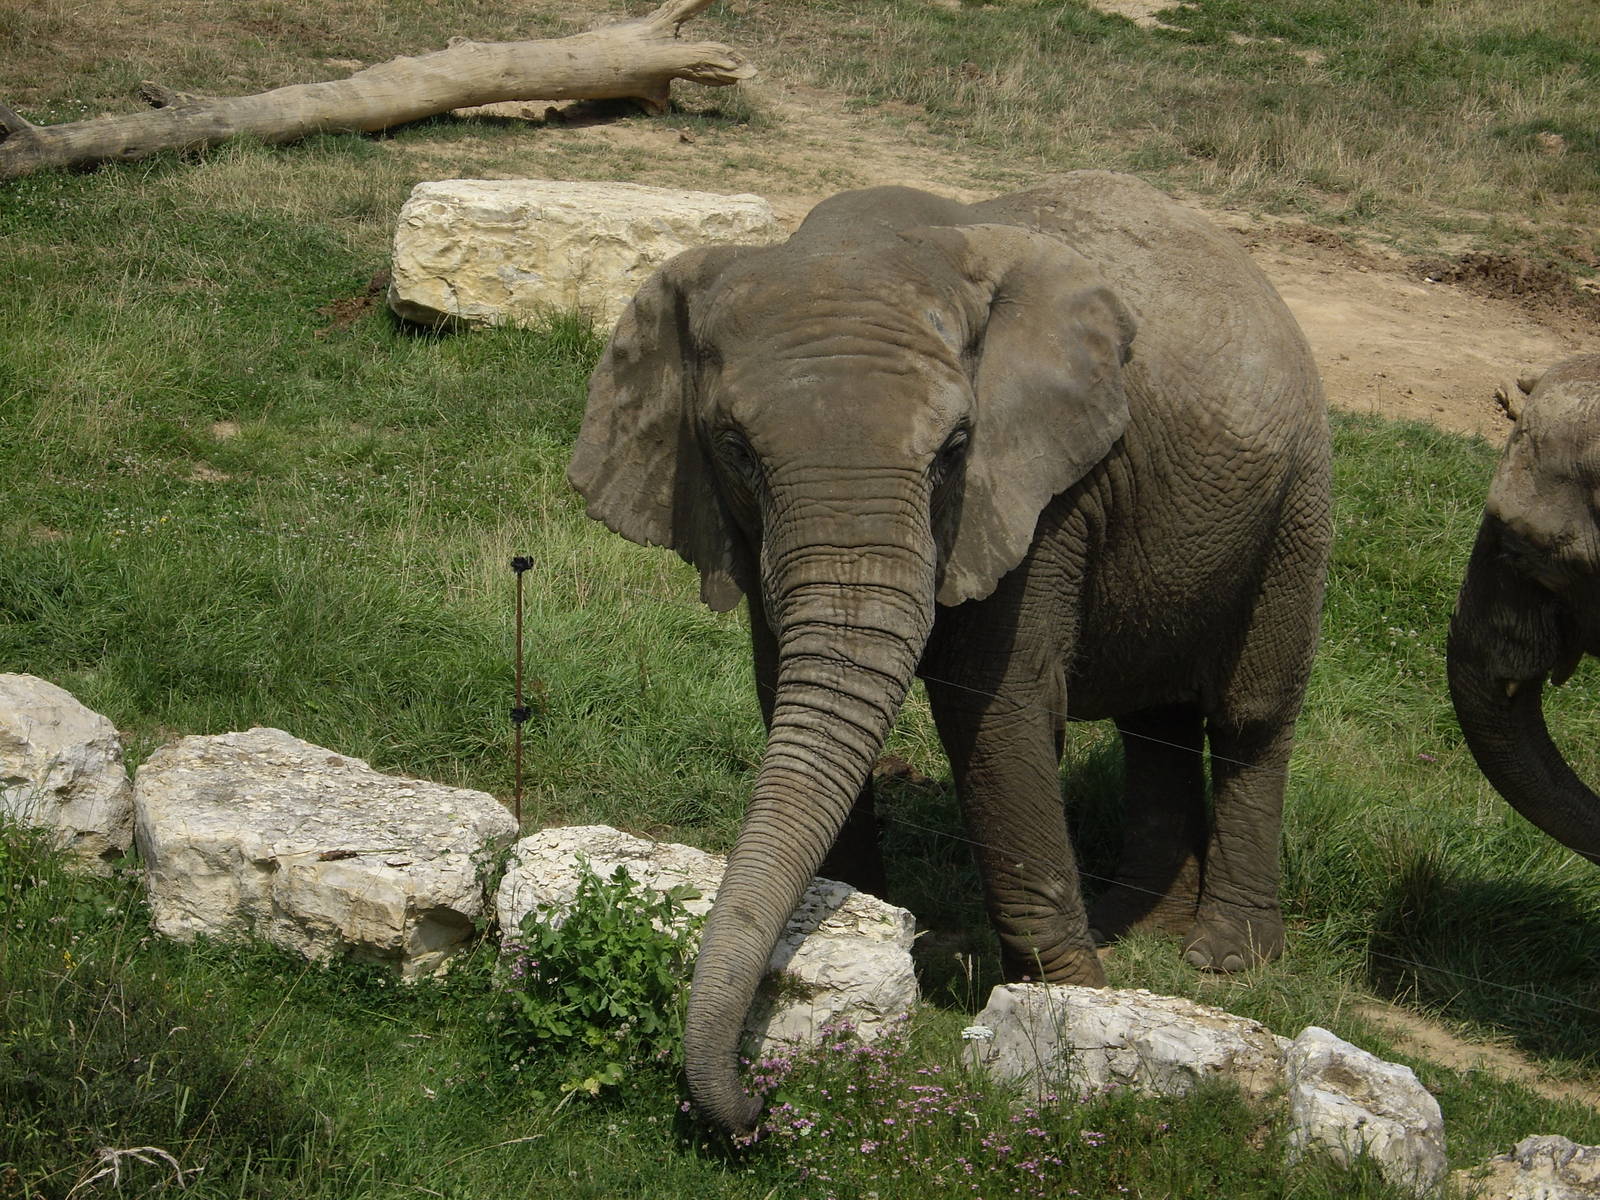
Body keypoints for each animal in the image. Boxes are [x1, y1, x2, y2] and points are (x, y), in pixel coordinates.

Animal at [568, 171, 1332, 1135]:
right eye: (735, 450)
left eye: (955, 449)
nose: (754, 1106)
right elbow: (787, 687)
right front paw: (859, 925)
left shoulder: (1039, 491)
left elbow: (993, 710)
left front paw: (1071, 1007)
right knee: (1152, 721)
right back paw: (1137, 923)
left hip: (1298, 496)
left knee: (1249, 715)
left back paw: (1222, 958)